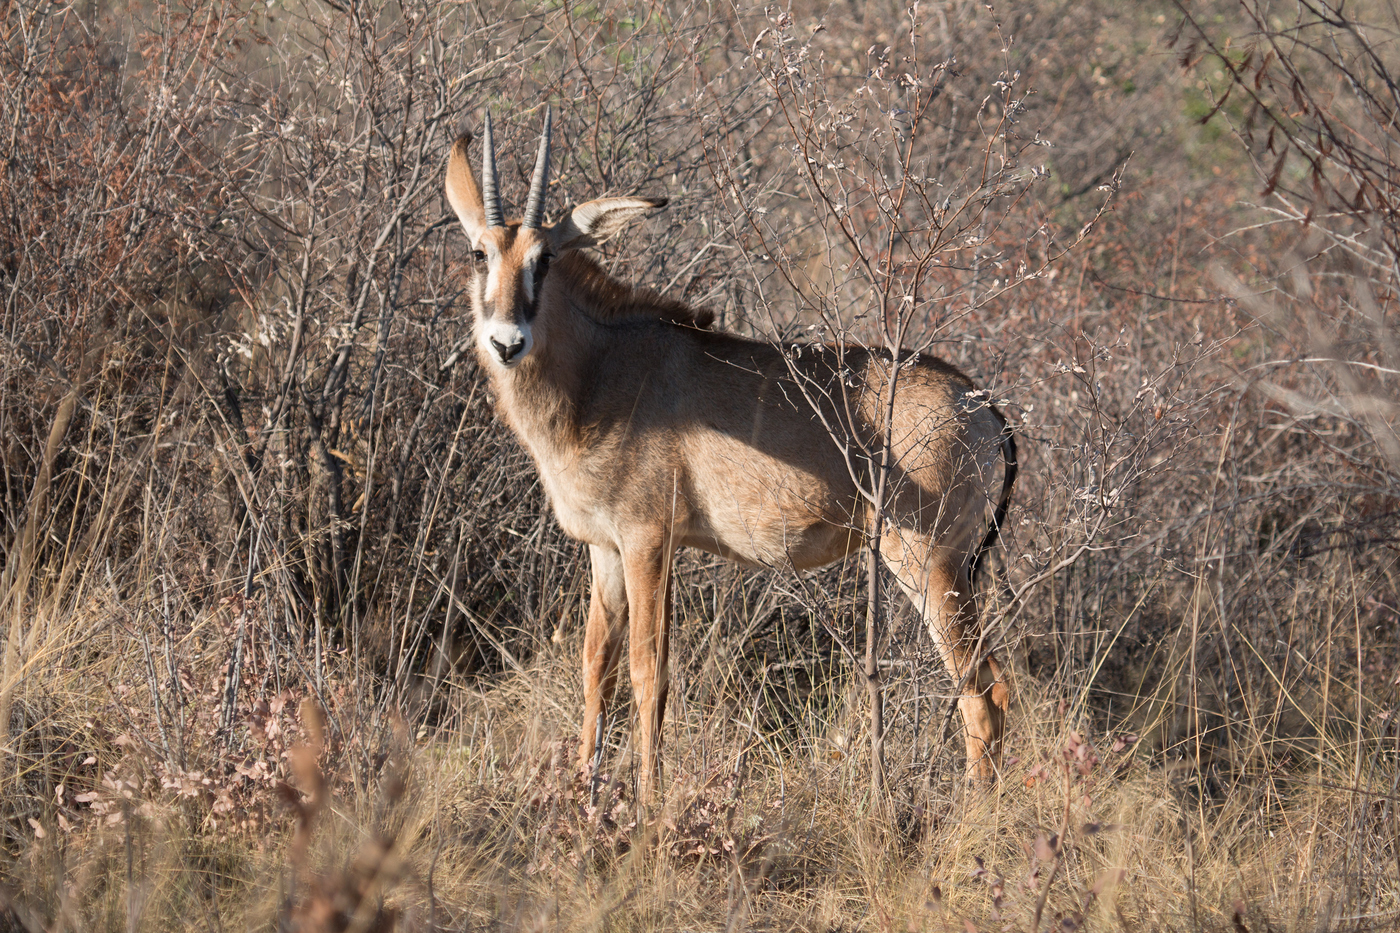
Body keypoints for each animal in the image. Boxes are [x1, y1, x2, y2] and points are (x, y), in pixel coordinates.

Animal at [448, 109, 1019, 790]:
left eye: (545, 257)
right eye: (480, 253)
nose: (507, 341)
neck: (599, 370)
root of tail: (983, 407)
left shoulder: (647, 540)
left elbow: (647, 671)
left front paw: (646, 798)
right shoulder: (605, 548)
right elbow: (596, 667)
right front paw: (586, 789)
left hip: (929, 563)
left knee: (981, 693)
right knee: (993, 687)